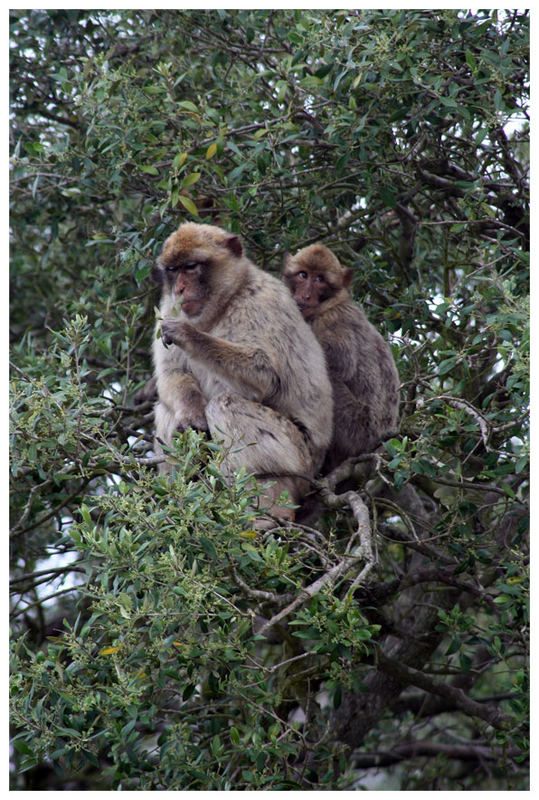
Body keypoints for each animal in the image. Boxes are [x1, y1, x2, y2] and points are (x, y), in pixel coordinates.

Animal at [149, 222, 334, 520]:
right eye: (173, 270)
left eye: (191, 266)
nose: (180, 288)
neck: (223, 304)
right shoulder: (169, 308)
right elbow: (172, 374)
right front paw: (191, 414)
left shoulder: (260, 302)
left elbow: (266, 376)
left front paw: (191, 336)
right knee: (166, 409)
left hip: (297, 459)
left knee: (225, 405)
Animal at [284, 241, 398, 472]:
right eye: (303, 275)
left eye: (319, 279)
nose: (305, 295)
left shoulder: (334, 320)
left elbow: (338, 365)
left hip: (357, 429)